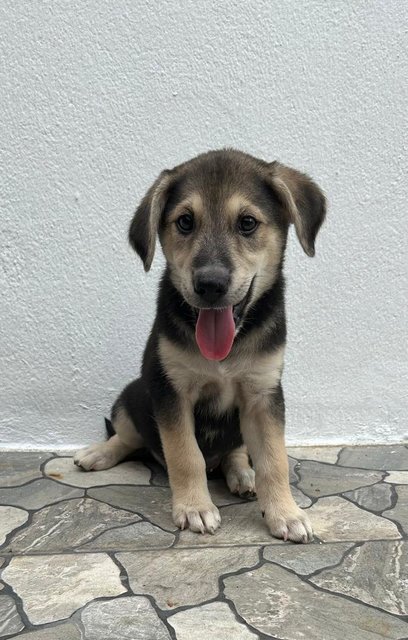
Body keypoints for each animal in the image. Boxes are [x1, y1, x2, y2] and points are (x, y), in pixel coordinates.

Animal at [75, 151, 326, 544]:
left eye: (248, 223)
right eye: (185, 222)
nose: (210, 284)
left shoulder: (264, 394)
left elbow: (274, 460)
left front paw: (285, 513)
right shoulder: (170, 390)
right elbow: (184, 454)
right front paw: (194, 507)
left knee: (235, 452)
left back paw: (242, 476)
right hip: (133, 393)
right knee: (126, 435)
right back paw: (97, 454)